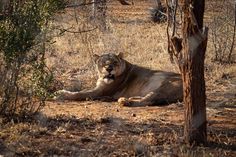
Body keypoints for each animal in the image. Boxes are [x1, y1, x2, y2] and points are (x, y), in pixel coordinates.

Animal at [54, 53, 183, 106]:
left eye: (114, 62)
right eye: (103, 62)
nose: (109, 68)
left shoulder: (100, 91)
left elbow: (80, 93)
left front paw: (60, 94)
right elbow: (80, 91)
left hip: (166, 85)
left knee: (149, 100)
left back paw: (125, 101)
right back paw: (128, 98)